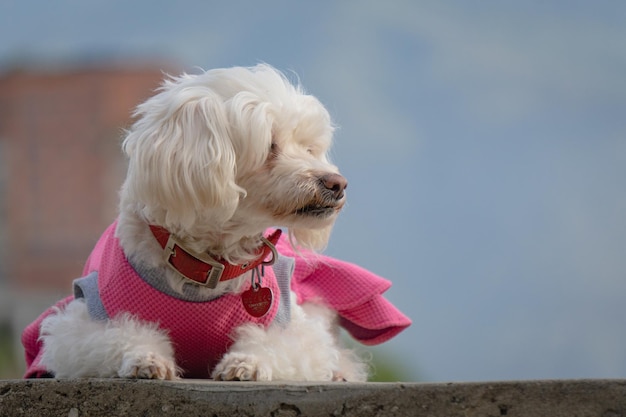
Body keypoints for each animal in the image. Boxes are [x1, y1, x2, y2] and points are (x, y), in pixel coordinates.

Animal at [22, 64, 408, 380]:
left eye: (310, 148)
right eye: (270, 146)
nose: (337, 183)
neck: (206, 266)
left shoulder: (295, 327)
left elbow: (285, 344)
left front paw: (248, 362)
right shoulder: (78, 326)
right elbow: (118, 334)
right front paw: (145, 356)